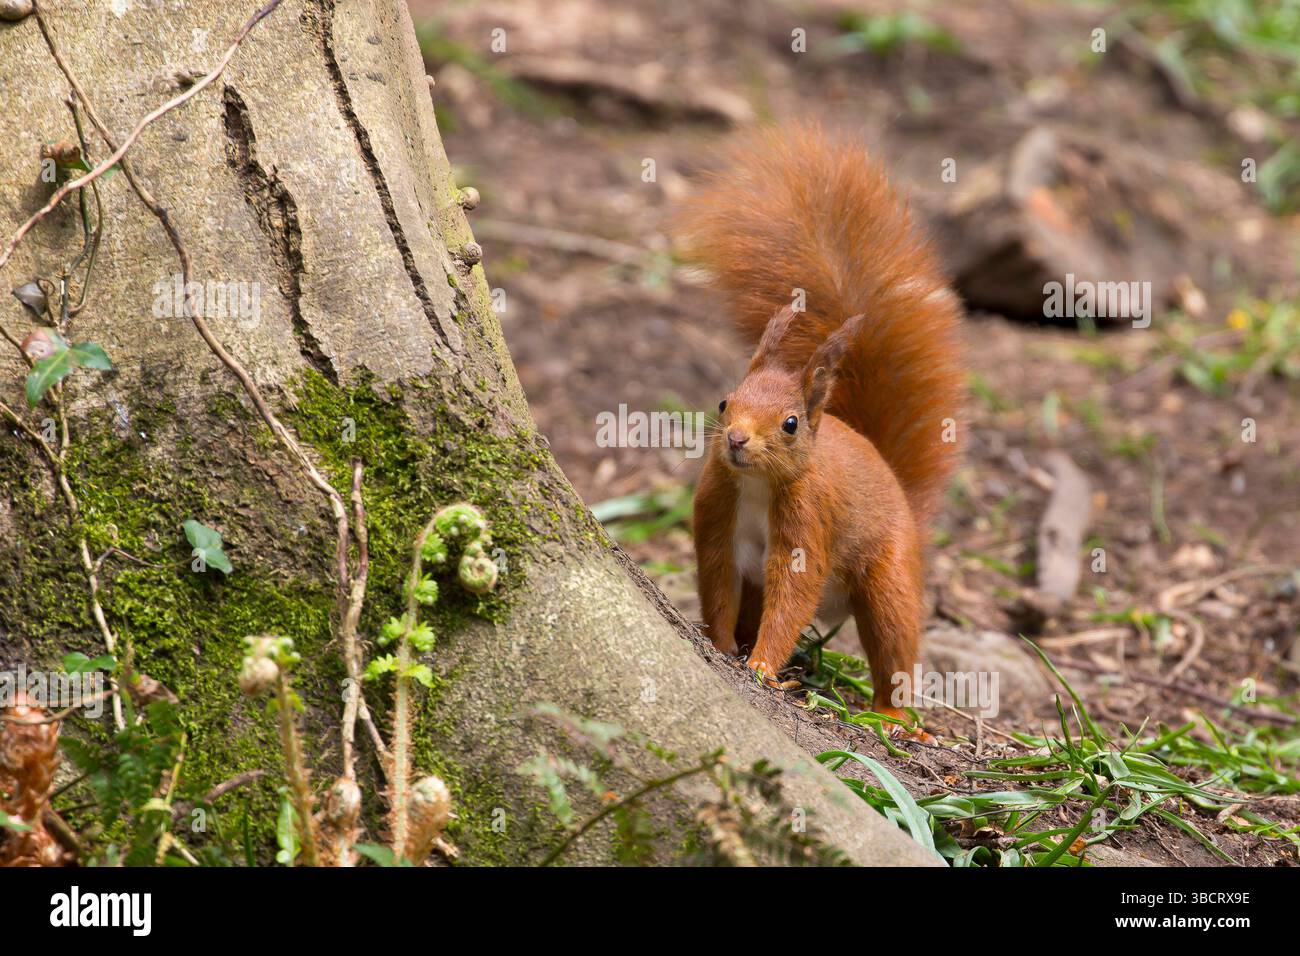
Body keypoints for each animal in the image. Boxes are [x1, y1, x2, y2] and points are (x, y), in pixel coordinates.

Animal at [677, 123, 964, 722]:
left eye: (790, 424)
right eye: (724, 402)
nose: (736, 440)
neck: (758, 485)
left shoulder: (808, 520)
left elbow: (794, 592)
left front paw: (763, 667)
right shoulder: (718, 507)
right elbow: (717, 580)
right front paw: (721, 645)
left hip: (889, 575)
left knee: (894, 640)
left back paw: (894, 718)